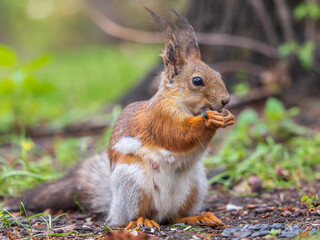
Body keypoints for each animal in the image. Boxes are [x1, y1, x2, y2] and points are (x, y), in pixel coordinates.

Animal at [3, 8, 235, 229]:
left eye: (219, 74)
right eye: (197, 81)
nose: (226, 100)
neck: (186, 106)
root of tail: (114, 206)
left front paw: (228, 117)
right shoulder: (160, 117)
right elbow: (177, 135)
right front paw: (210, 119)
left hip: (195, 184)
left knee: (175, 217)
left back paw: (197, 217)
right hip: (132, 184)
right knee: (132, 217)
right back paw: (141, 221)